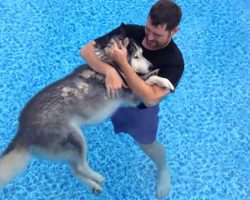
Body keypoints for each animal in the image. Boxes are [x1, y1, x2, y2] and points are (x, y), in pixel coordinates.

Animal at [0, 33, 174, 194]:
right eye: (137, 56)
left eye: (143, 53)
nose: (151, 66)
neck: (110, 62)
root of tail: (22, 131)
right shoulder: (131, 96)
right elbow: (147, 81)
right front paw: (163, 80)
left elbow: (146, 80)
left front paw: (159, 77)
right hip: (76, 138)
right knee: (81, 167)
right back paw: (97, 177)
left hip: (66, 149)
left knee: (75, 170)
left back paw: (93, 186)